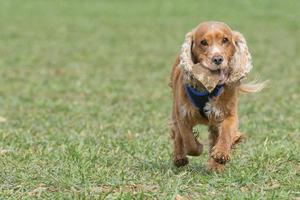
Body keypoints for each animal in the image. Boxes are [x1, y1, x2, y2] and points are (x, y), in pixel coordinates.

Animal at [170, 21, 264, 172]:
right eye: (203, 42)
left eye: (225, 40)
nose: (218, 59)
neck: (209, 88)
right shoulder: (183, 113)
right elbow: (187, 139)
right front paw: (197, 147)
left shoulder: (228, 113)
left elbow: (226, 133)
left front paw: (221, 154)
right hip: (175, 110)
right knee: (177, 133)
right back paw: (179, 158)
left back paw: (215, 166)